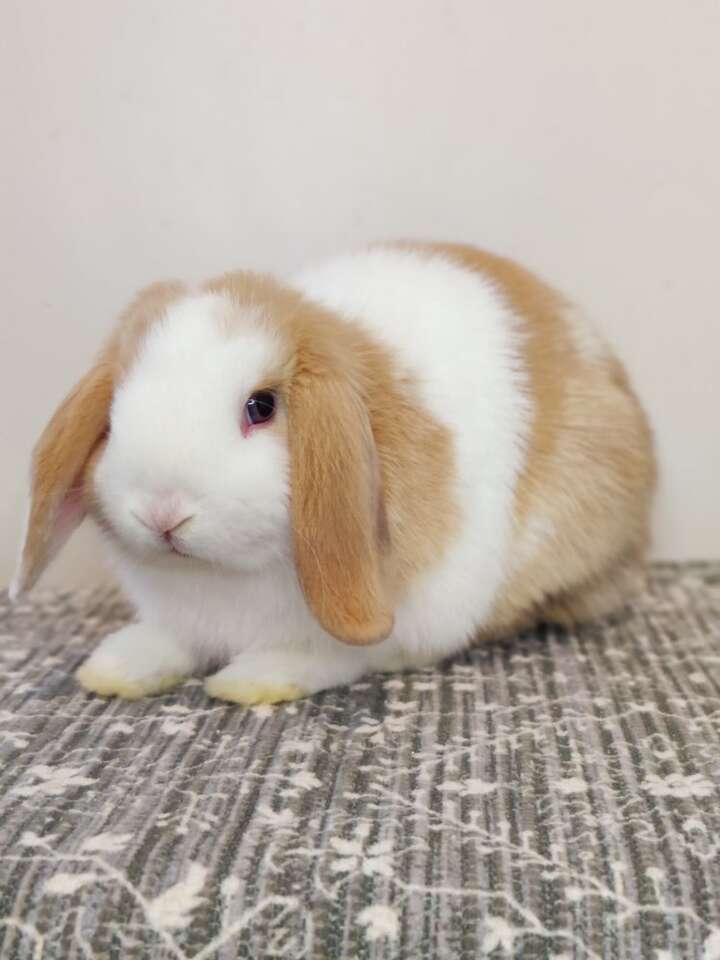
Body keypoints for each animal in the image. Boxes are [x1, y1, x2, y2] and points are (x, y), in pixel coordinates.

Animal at [11, 240, 656, 704]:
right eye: (116, 409)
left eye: (261, 407)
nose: (162, 512)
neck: (221, 580)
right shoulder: (178, 618)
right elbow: (163, 642)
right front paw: (113, 669)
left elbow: (333, 657)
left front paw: (253, 681)